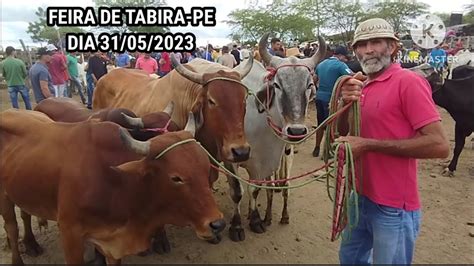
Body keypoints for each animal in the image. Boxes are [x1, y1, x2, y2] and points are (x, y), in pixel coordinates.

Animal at [0, 109, 226, 264]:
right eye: (176, 178)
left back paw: (31, 243)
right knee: (11, 227)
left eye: (205, 168)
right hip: (4, 197)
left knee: (25, 214)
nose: (217, 224)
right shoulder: (70, 233)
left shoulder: (112, 242)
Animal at [224, 33, 328, 241]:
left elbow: (255, 189)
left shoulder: (264, 162)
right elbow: (237, 192)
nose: (296, 131)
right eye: (277, 85)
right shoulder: (231, 159)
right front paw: (237, 226)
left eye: (309, 85)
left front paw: (255, 219)